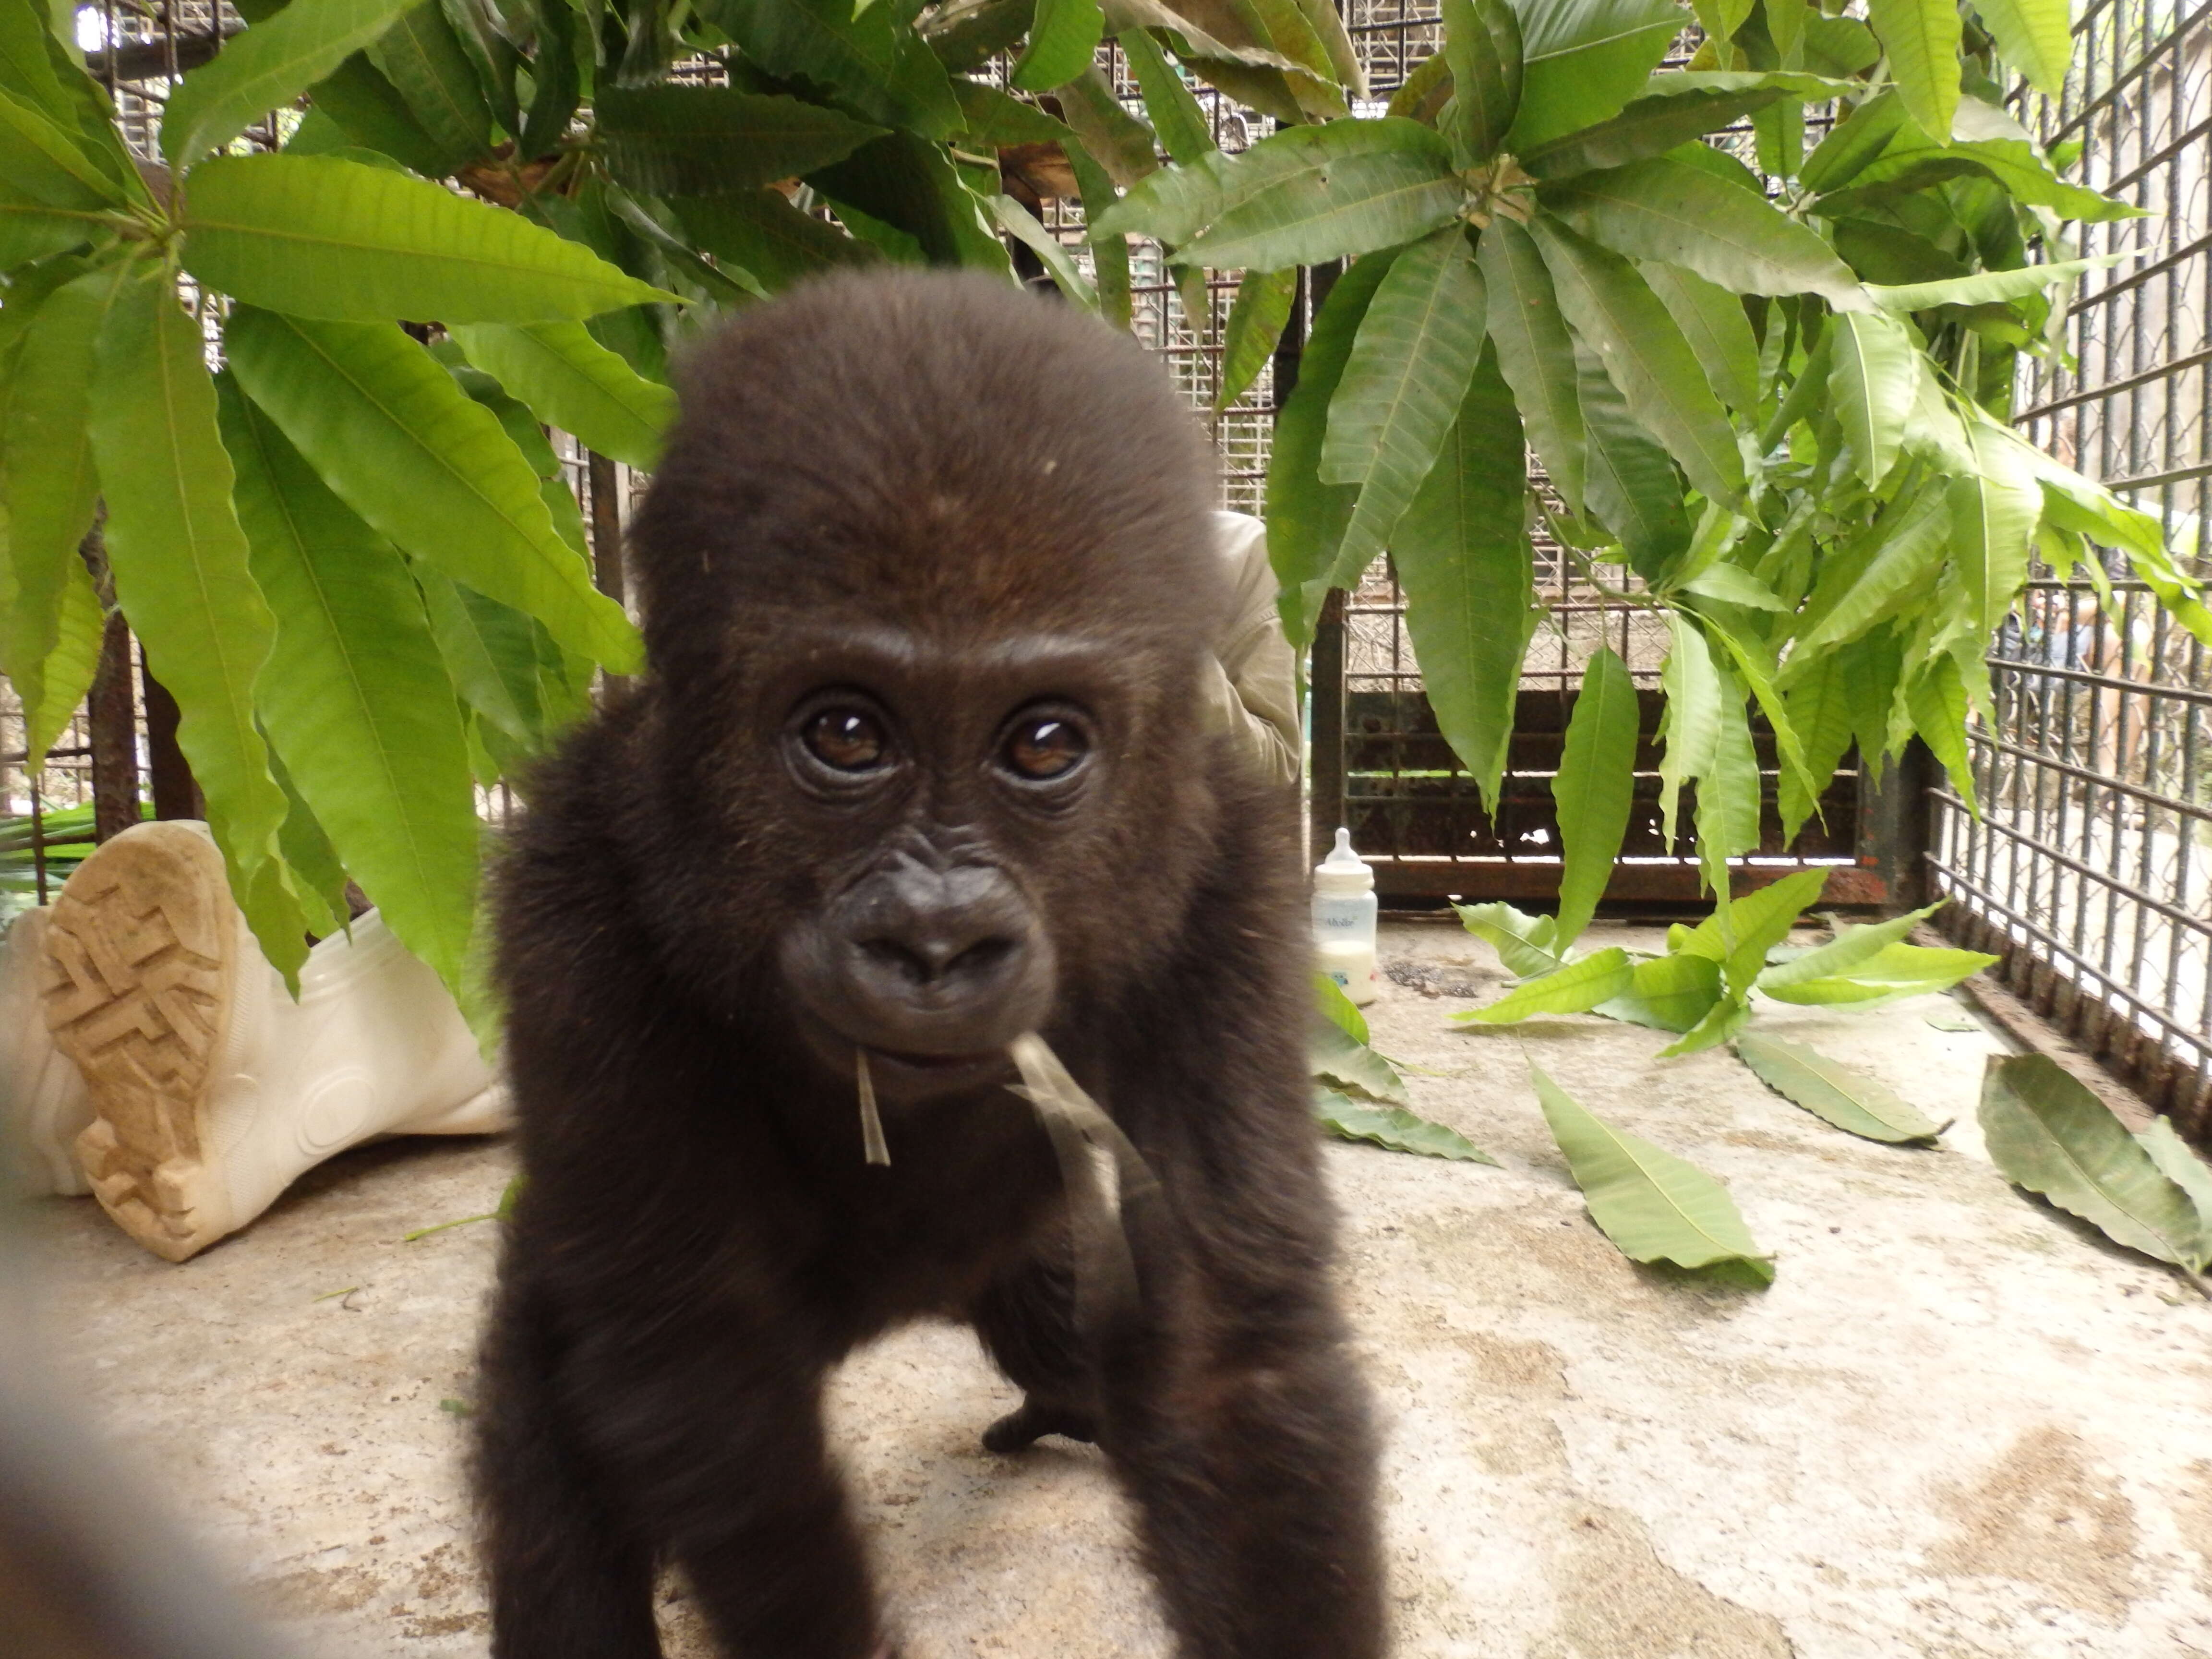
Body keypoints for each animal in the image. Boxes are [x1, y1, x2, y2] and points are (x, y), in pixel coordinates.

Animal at [482, 273, 1380, 1659]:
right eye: (847, 733)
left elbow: (1227, 1352)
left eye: (1044, 743)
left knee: (1067, 1317)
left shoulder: (1227, 865)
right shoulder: (567, 892)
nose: (935, 941)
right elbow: (697, 1376)